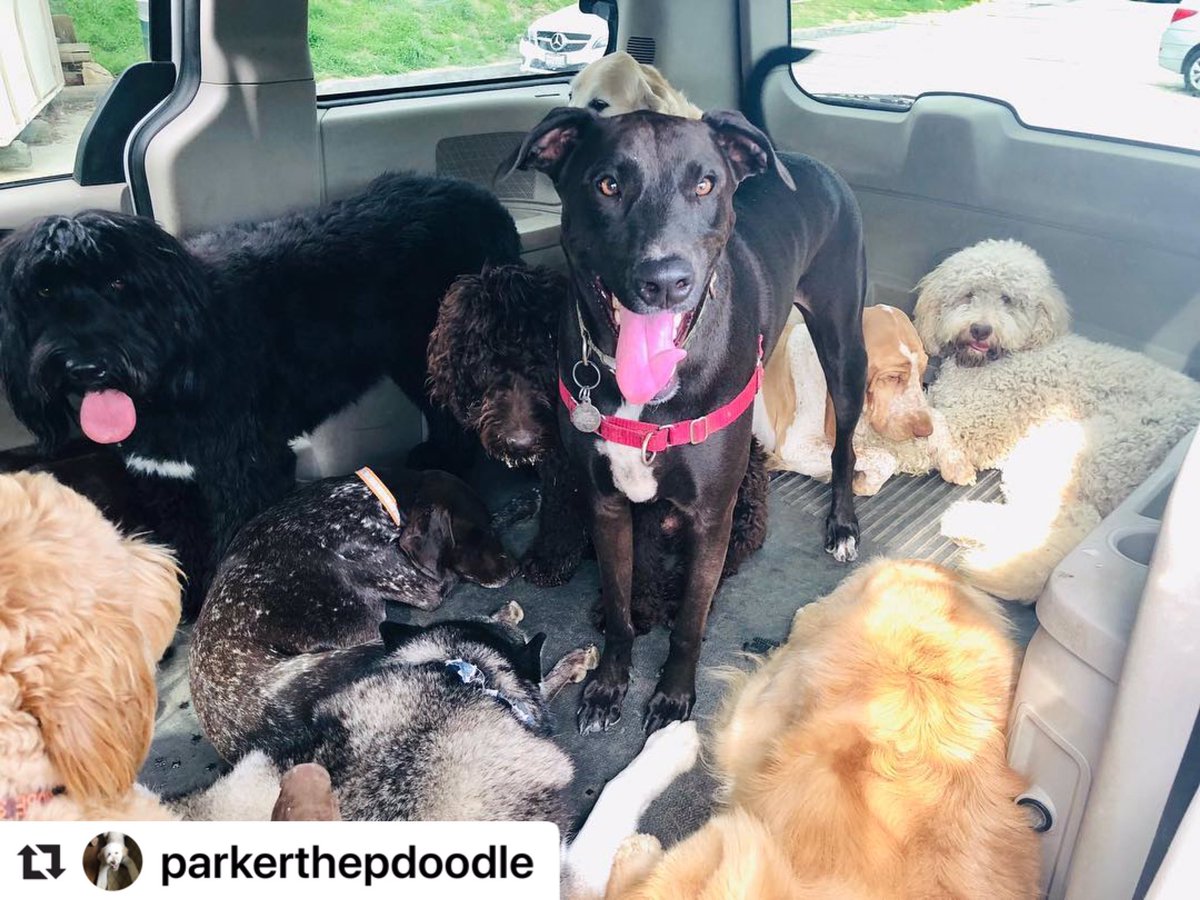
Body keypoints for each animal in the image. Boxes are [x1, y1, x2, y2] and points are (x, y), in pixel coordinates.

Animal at [0, 172, 520, 619]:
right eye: (42, 291)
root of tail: (480, 195)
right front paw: (188, 599)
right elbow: (184, 540)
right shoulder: (168, 479)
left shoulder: (246, 472)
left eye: (118, 282)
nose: (86, 366)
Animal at [758, 307, 974, 496]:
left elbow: (937, 416)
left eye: (921, 371)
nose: (924, 431)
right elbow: (885, 458)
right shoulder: (797, 446)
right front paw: (865, 483)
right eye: (893, 377)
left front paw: (956, 462)